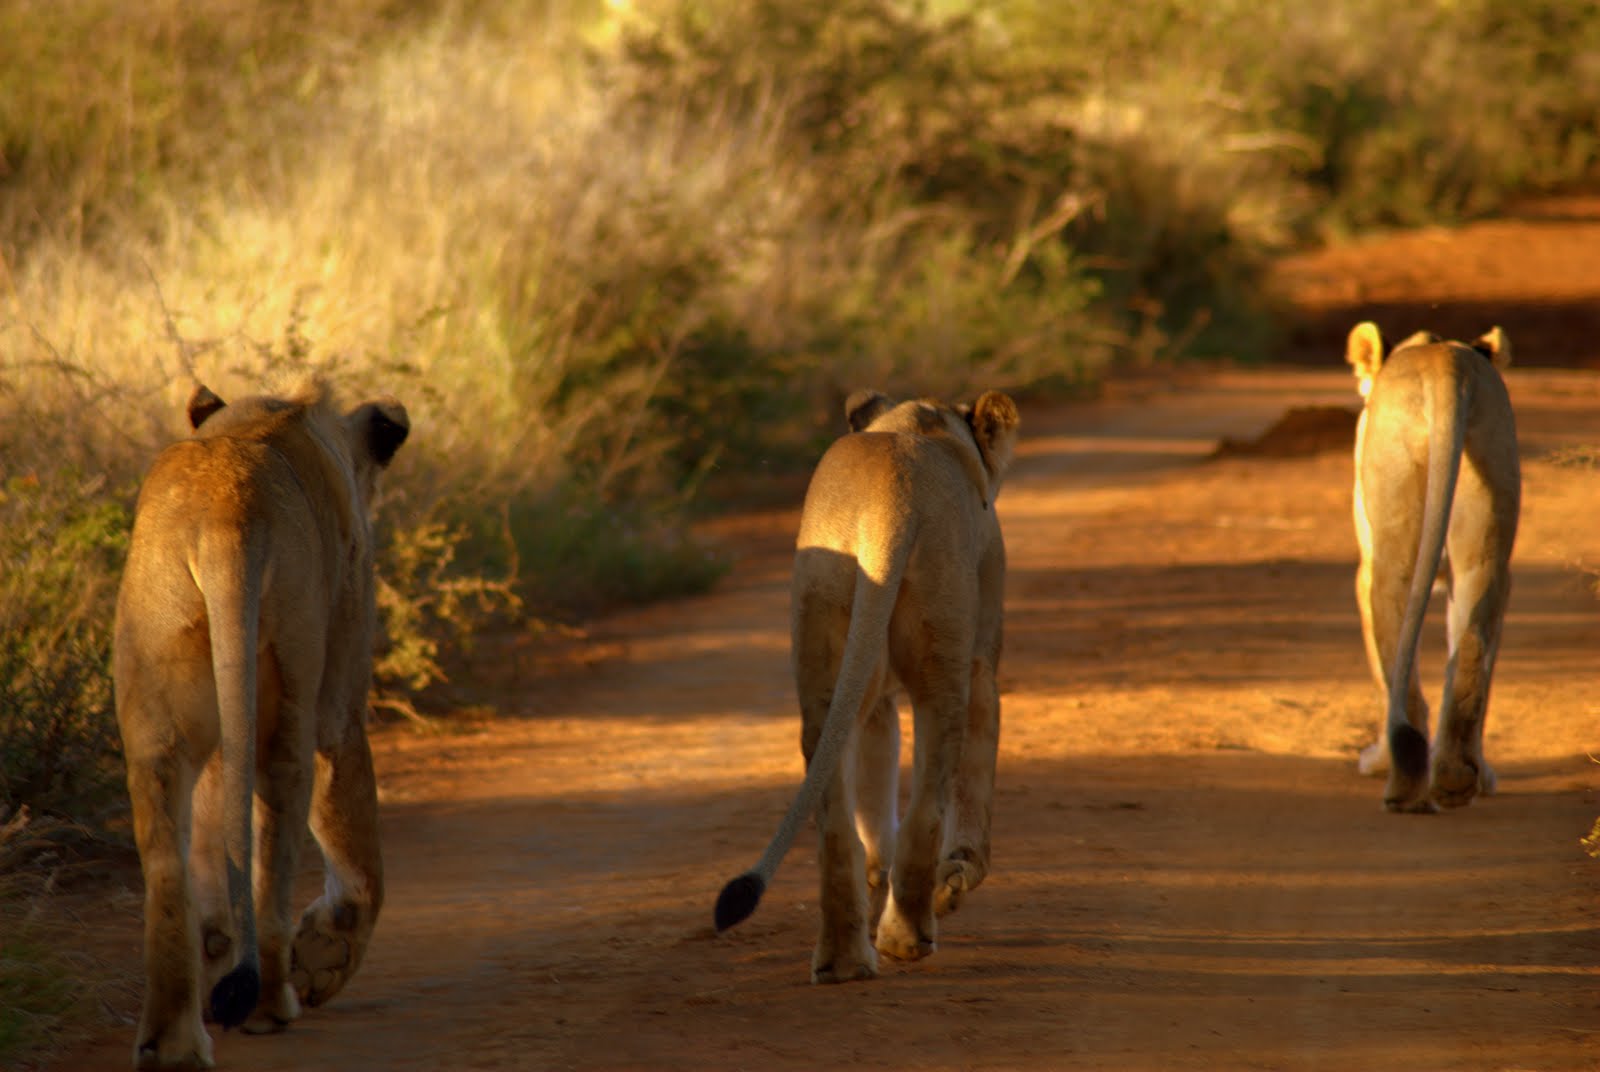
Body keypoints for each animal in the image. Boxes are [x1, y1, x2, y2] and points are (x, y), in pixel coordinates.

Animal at [113, 382, 409, 1068]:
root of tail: (224, 513)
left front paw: (222, 948)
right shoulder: (337, 703)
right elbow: (359, 849)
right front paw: (325, 953)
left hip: (157, 705)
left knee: (168, 864)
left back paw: (174, 1039)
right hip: (290, 698)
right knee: (276, 846)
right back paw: (272, 1002)